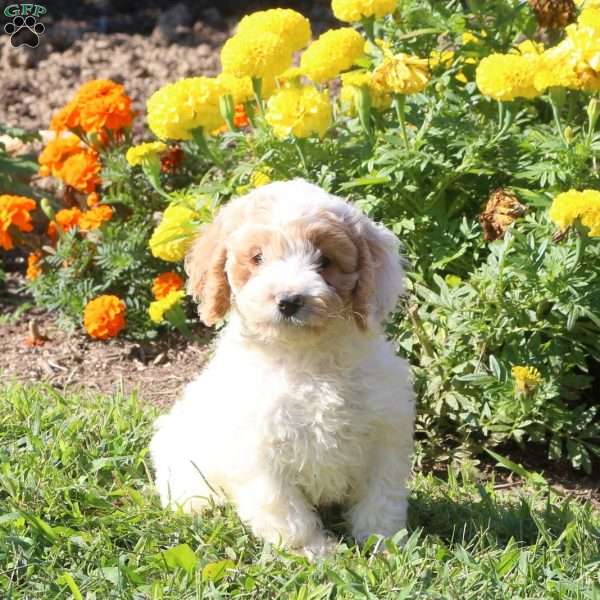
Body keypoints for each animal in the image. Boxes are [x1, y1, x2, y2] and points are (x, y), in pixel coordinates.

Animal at [149, 178, 418, 556]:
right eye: (257, 258)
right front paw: (316, 553)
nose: (289, 301)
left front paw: (385, 547)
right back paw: (199, 503)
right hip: (180, 446)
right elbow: (288, 513)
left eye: (325, 260)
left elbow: (381, 501)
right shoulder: (262, 457)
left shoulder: (384, 437)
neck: (305, 358)